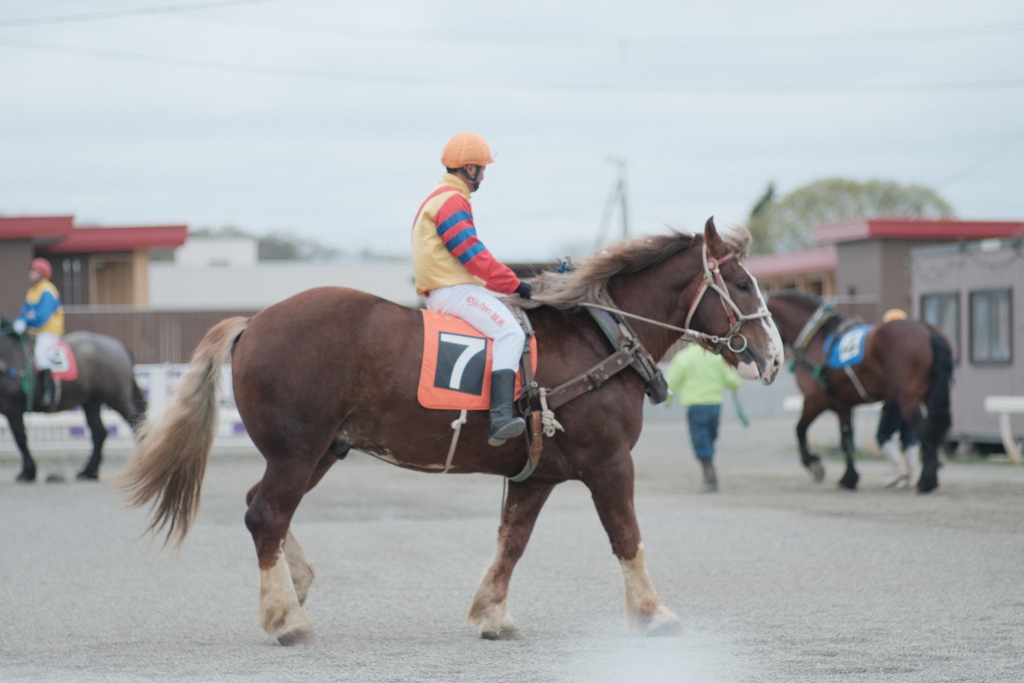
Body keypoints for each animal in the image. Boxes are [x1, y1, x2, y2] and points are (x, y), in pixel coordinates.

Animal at [0, 316, 147, 482]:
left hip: (117, 399)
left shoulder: (13, 409)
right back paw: (88, 471)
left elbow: (21, 439)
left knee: (136, 423)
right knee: (99, 433)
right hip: (92, 403)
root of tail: (118, 346)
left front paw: (27, 472)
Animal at [121, 219, 784, 645]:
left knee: (263, 510)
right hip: (298, 452)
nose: (774, 357)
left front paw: (491, 613)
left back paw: (294, 585)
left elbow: (511, 543)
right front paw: (653, 614)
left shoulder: (537, 476)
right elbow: (627, 537)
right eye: (743, 284)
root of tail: (255, 322)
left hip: (321, 452)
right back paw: (286, 617)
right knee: (267, 516)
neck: (597, 336)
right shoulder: (609, 464)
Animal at [766, 291, 953, 493]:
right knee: (934, 432)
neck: (816, 337)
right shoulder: (843, 406)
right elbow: (847, 441)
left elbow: (800, 429)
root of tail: (927, 331)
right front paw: (849, 477)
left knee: (924, 432)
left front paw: (814, 464)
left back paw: (926, 481)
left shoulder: (815, 400)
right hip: (929, 397)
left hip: (908, 401)